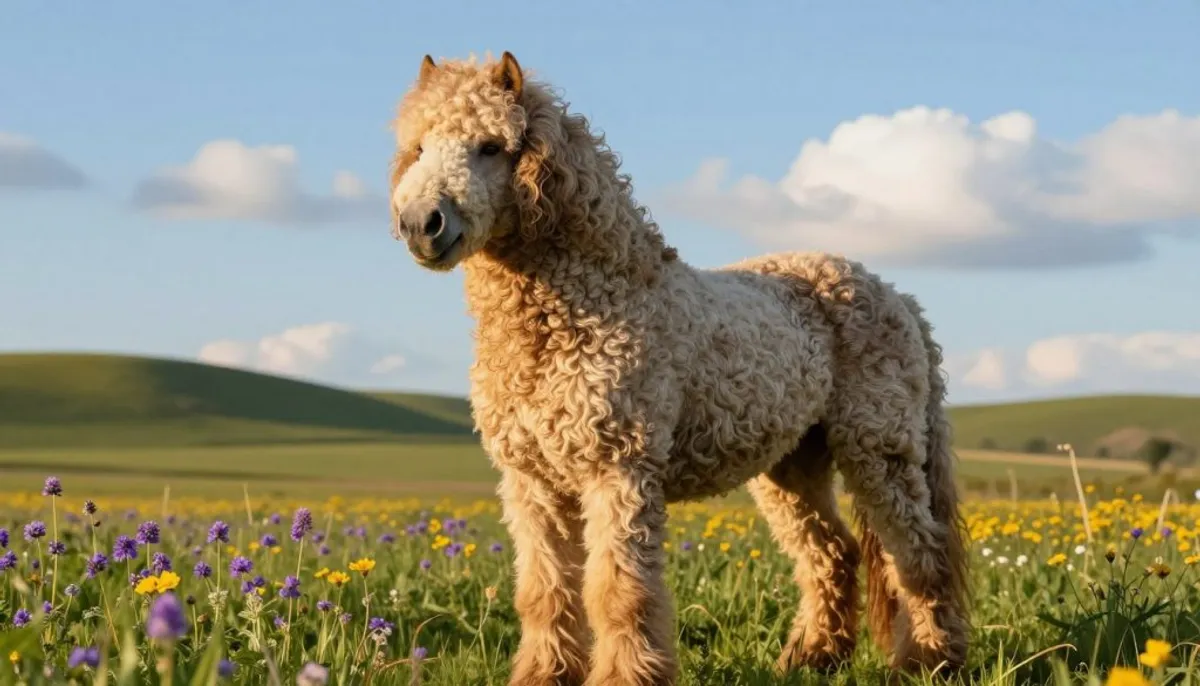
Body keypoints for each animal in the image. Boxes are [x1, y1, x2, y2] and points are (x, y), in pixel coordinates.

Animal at [387, 51, 970, 686]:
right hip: (794, 466)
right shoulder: (533, 483)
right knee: (833, 554)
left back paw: (930, 661)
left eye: (491, 146)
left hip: (879, 453)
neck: (590, 307)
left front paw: (625, 676)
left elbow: (618, 591)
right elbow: (545, 592)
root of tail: (899, 298)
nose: (421, 224)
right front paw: (543, 674)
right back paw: (813, 658)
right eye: (419, 147)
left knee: (920, 556)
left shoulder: (618, 472)